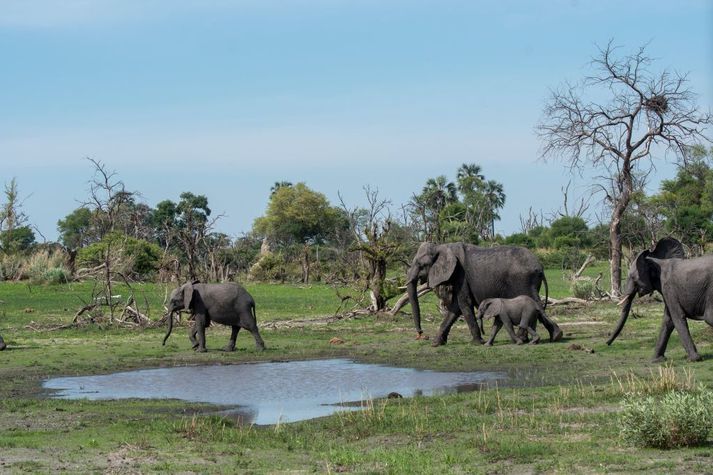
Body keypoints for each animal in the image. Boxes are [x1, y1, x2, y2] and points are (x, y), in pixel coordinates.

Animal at [404, 242, 560, 346]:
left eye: (420, 264)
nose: (421, 334)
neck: (441, 246)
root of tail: (540, 267)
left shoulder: (461, 275)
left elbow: (463, 304)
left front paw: (477, 343)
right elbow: (455, 308)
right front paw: (437, 344)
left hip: (523, 281)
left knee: (534, 303)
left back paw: (545, 338)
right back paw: (547, 337)